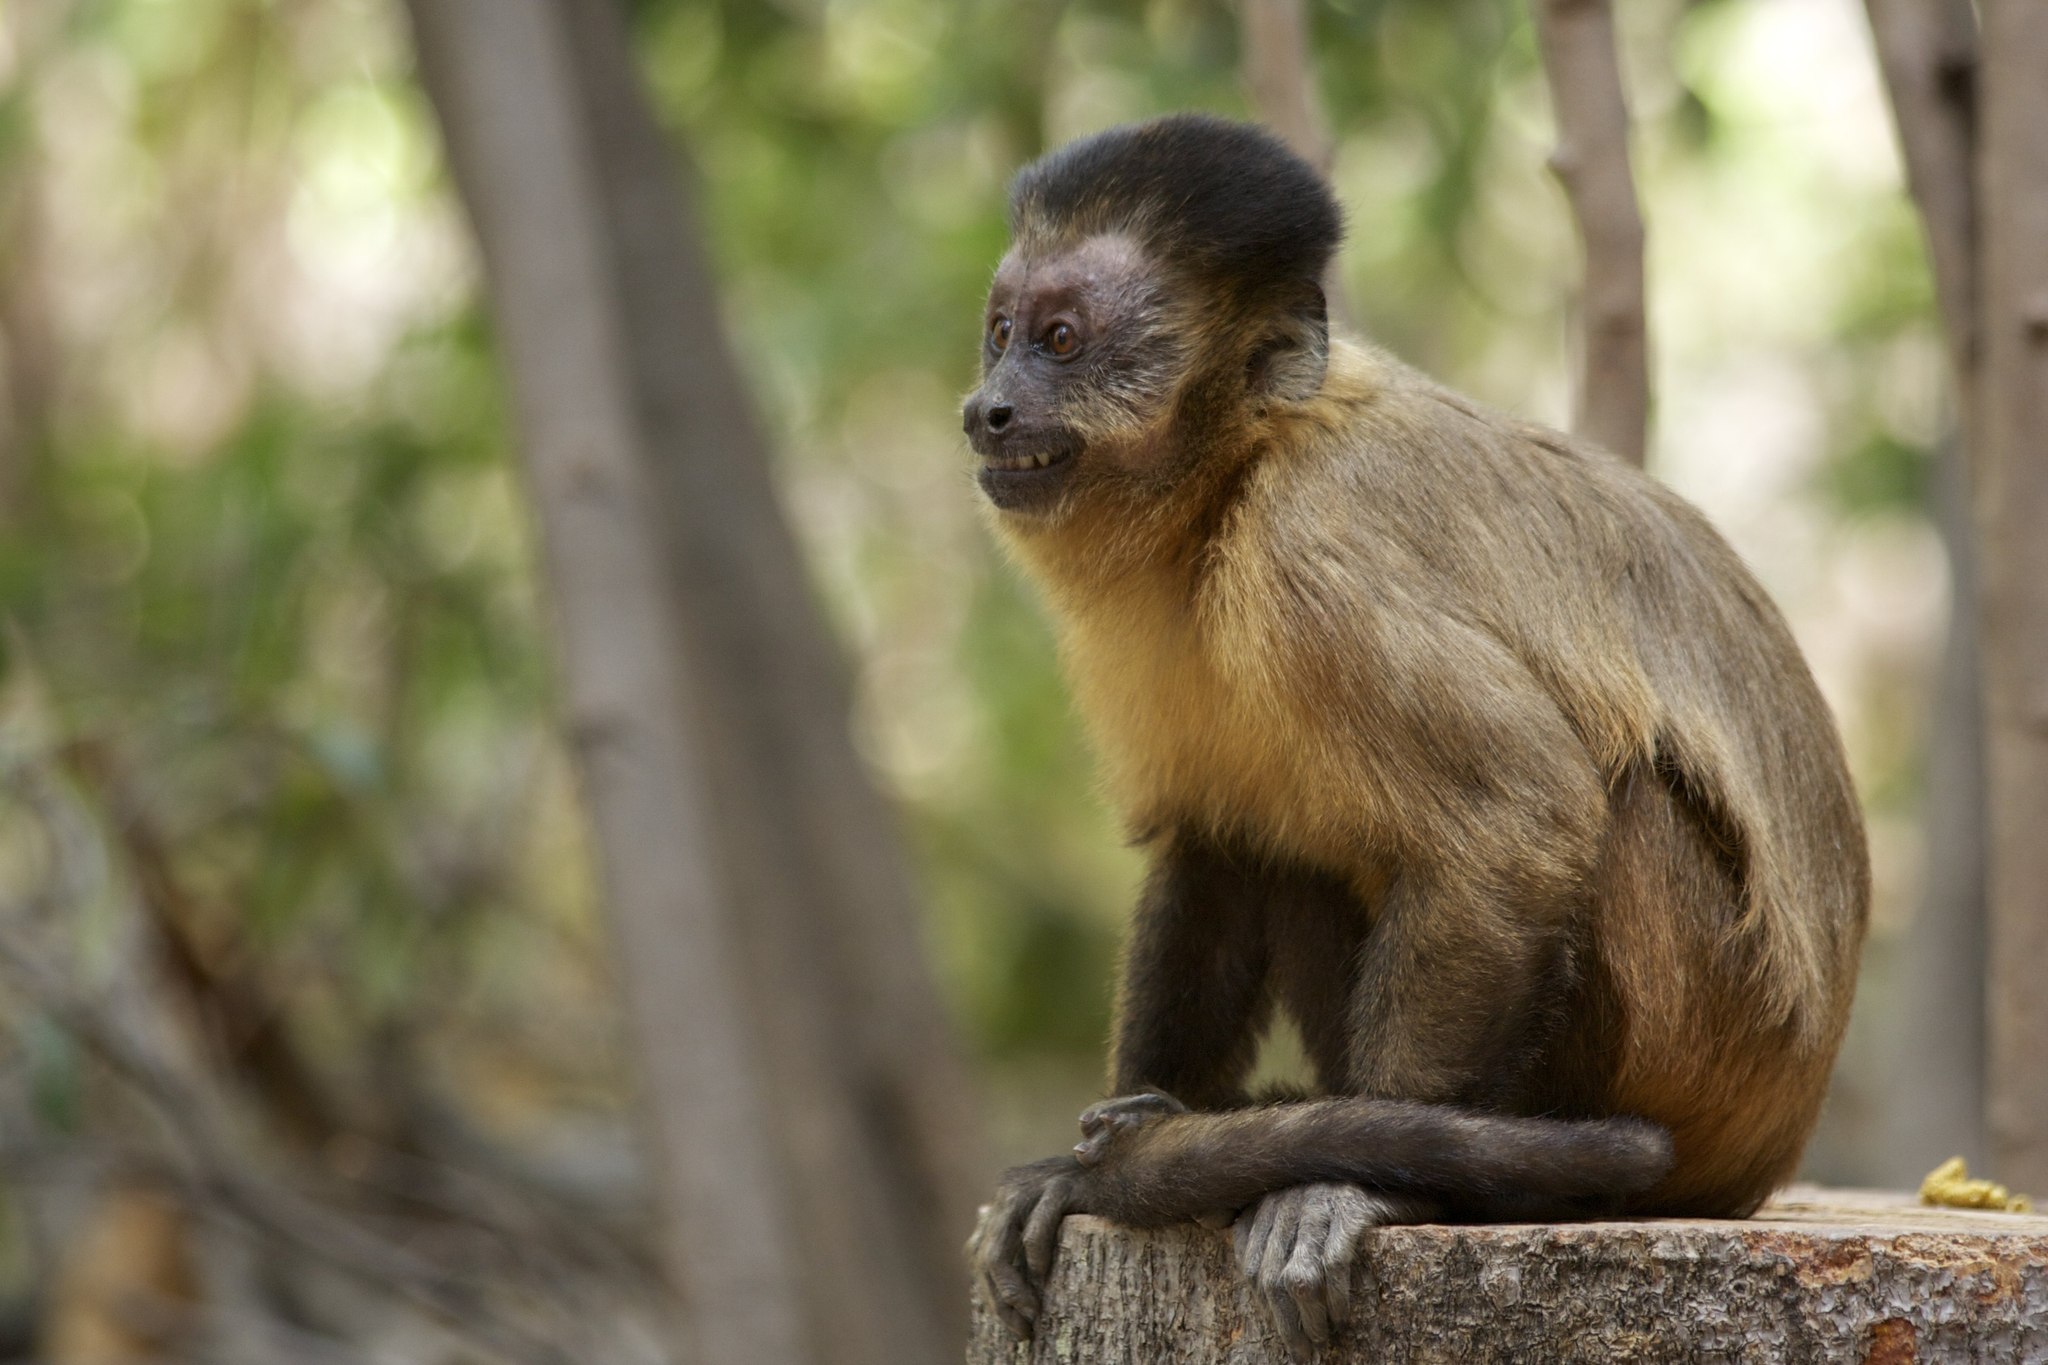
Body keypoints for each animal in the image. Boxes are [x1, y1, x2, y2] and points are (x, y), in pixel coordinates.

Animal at [958, 117, 1875, 1358]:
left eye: (1062, 342)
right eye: (1002, 336)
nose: (988, 405)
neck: (1244, 461)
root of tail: (1774, 1141)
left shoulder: (1305, 558)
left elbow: (1514, 823)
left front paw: (1357, 1185)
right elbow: (1211, 845)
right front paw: (1089, 1166)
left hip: (1691, 1049)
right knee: (1282, 841)